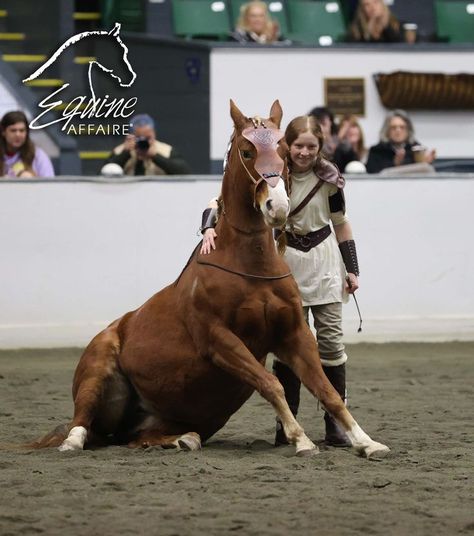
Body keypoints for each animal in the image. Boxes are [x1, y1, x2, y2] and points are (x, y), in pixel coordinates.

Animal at [32, 102, 388, 458]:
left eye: (285, 151)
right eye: (247, 151)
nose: (277, 206)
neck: (250, 266)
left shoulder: (293, 335)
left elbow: (327, 391)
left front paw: (366, 442)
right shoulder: (219, 339)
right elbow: (272, 384)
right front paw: (300, 439)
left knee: (138, 437)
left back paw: (181, 439)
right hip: (97, 370)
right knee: (82, 421)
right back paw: (72, 442)